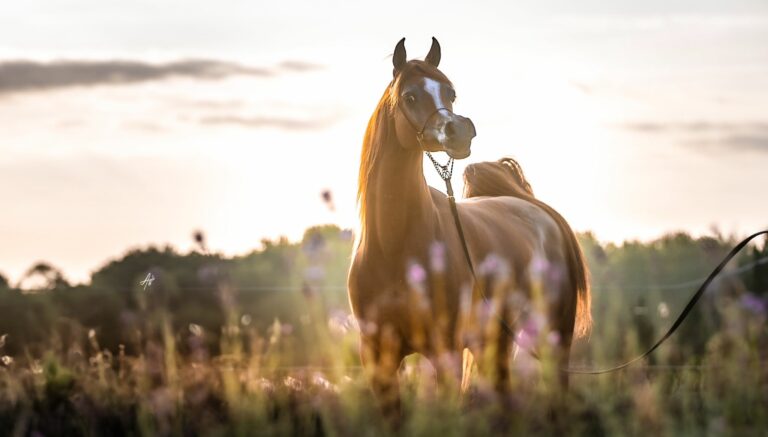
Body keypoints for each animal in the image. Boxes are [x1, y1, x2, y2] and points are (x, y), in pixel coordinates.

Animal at [344, 36, 592, 412]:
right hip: (496, 342)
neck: (394, 246)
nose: (460, 131)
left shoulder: (444, 350)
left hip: (555, 339)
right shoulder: (378, 361)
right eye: (409, 96)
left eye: (451, 92)